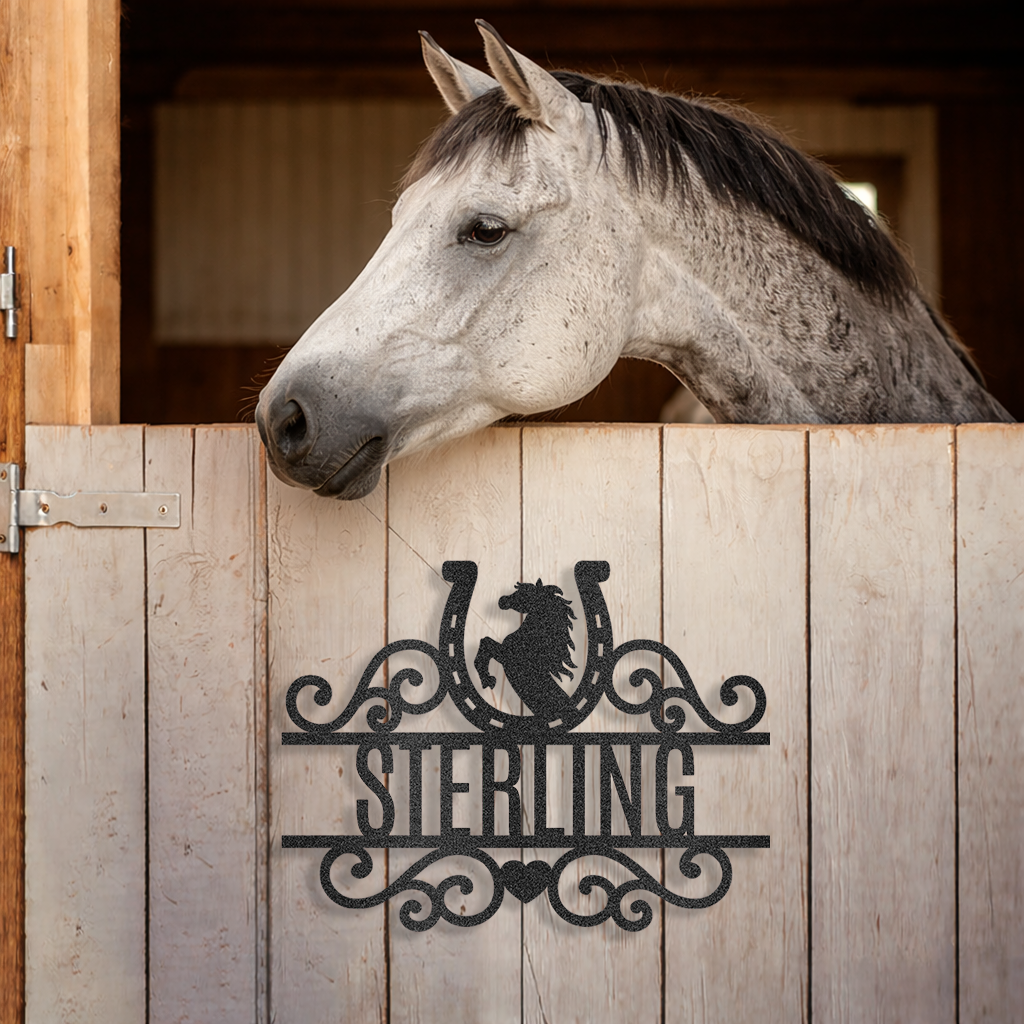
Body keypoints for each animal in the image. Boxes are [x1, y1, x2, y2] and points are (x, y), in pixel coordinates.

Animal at [475, 579, 579, 720]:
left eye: (526, 593)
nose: (502, 600)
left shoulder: (505, 655)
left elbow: (485, 643)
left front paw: (488, 680)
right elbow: (484, 642)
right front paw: (488, 680)